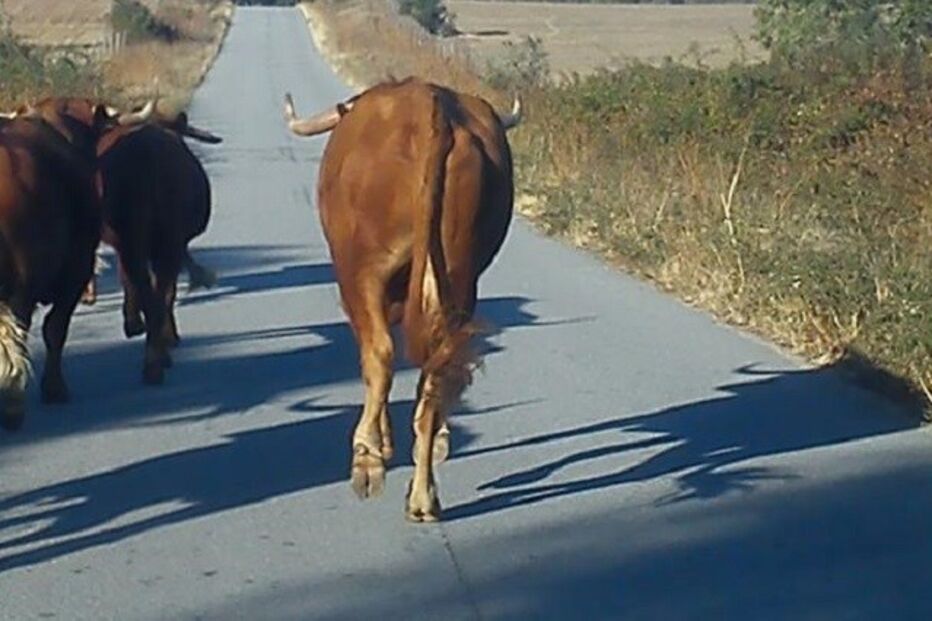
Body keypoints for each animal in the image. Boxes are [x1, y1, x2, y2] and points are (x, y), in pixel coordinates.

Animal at [284, 78, 521, 521]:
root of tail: (432, 108)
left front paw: (380, 443)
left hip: (362, 271)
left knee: (380, 354)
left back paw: (367, 460)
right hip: (460, 276)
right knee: (438, 368)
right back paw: (423, 493)